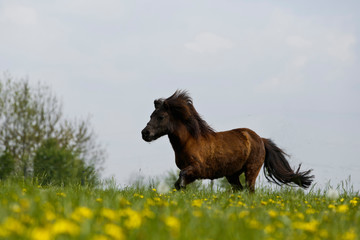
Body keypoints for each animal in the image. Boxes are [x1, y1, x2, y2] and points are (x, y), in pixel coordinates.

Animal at [142, 89, 314, 192]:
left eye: (161, 116)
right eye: (150, 115)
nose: (145, 133)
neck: (189, 142)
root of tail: (260, 139)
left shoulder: (197, 169)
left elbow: (181, 177)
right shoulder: (193, 173)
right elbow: (178, 182)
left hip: (251, 170)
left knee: (250, 190)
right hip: (232, 175)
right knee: (240, 190)